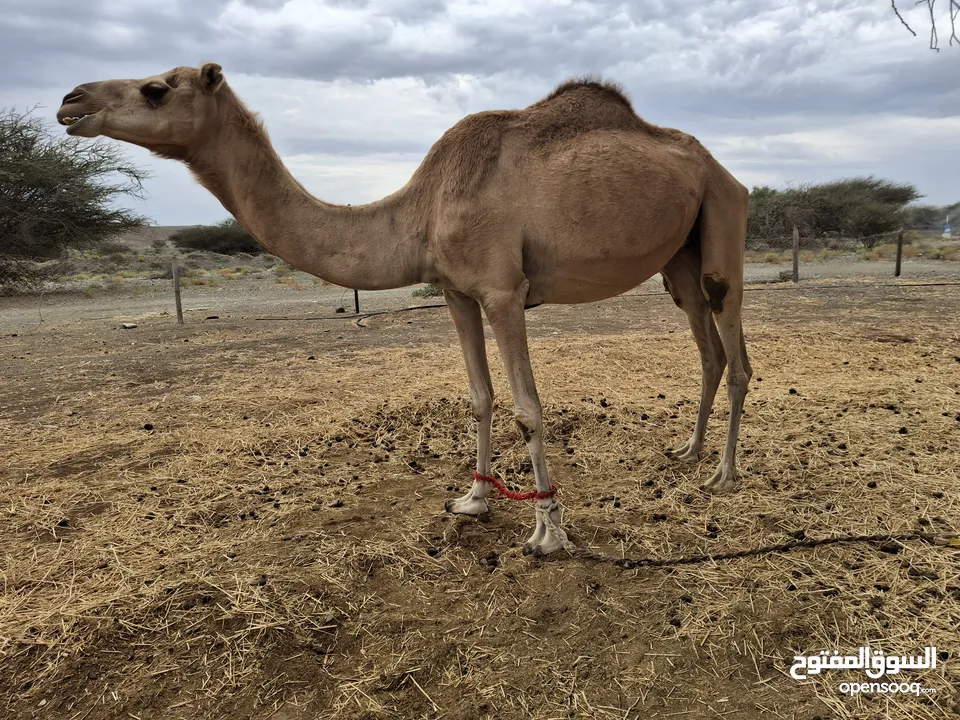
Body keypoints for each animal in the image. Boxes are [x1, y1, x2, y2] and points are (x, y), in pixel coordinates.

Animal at [56, 63, 752, 556]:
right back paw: (688, 454)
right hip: (677, 258)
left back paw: (723, 474)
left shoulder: (503, 291)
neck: (423, 207)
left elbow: (527, 407)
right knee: (708, 347)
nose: (71, 101)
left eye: (155, 89)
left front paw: (548, 531)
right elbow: (480, 396)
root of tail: (722, 168)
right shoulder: (455, 291)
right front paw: (473, 500)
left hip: (722, 220)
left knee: (735, 347)